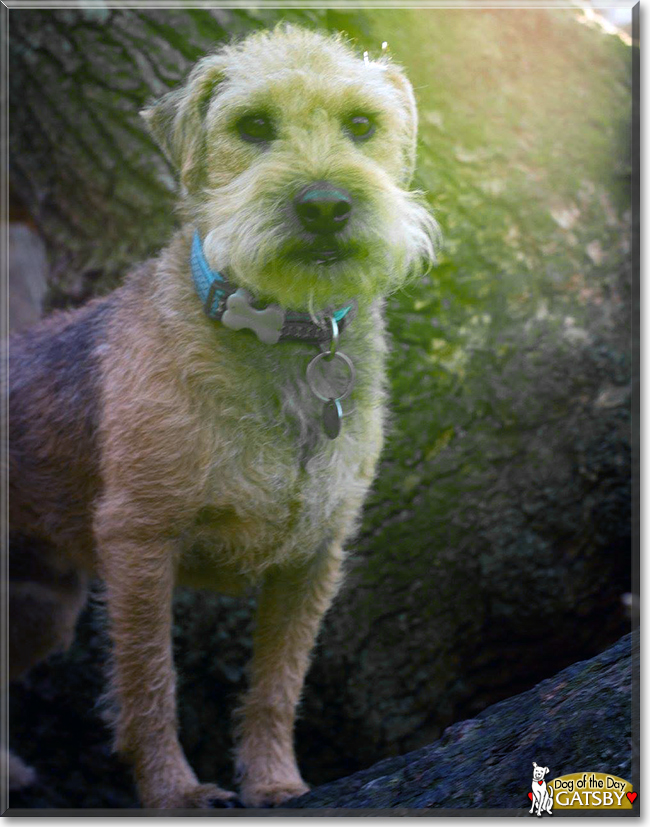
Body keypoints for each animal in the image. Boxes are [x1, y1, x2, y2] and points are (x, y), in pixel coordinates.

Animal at [5, 25, 436, 808]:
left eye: (362, 125)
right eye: (254, 126)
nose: (325, 205)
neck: (283, 340)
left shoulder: (313, 555)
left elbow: (278, 684)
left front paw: (277, 783)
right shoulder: (140, 539)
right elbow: (150, 682)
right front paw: (176, 793)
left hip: (39, 607)